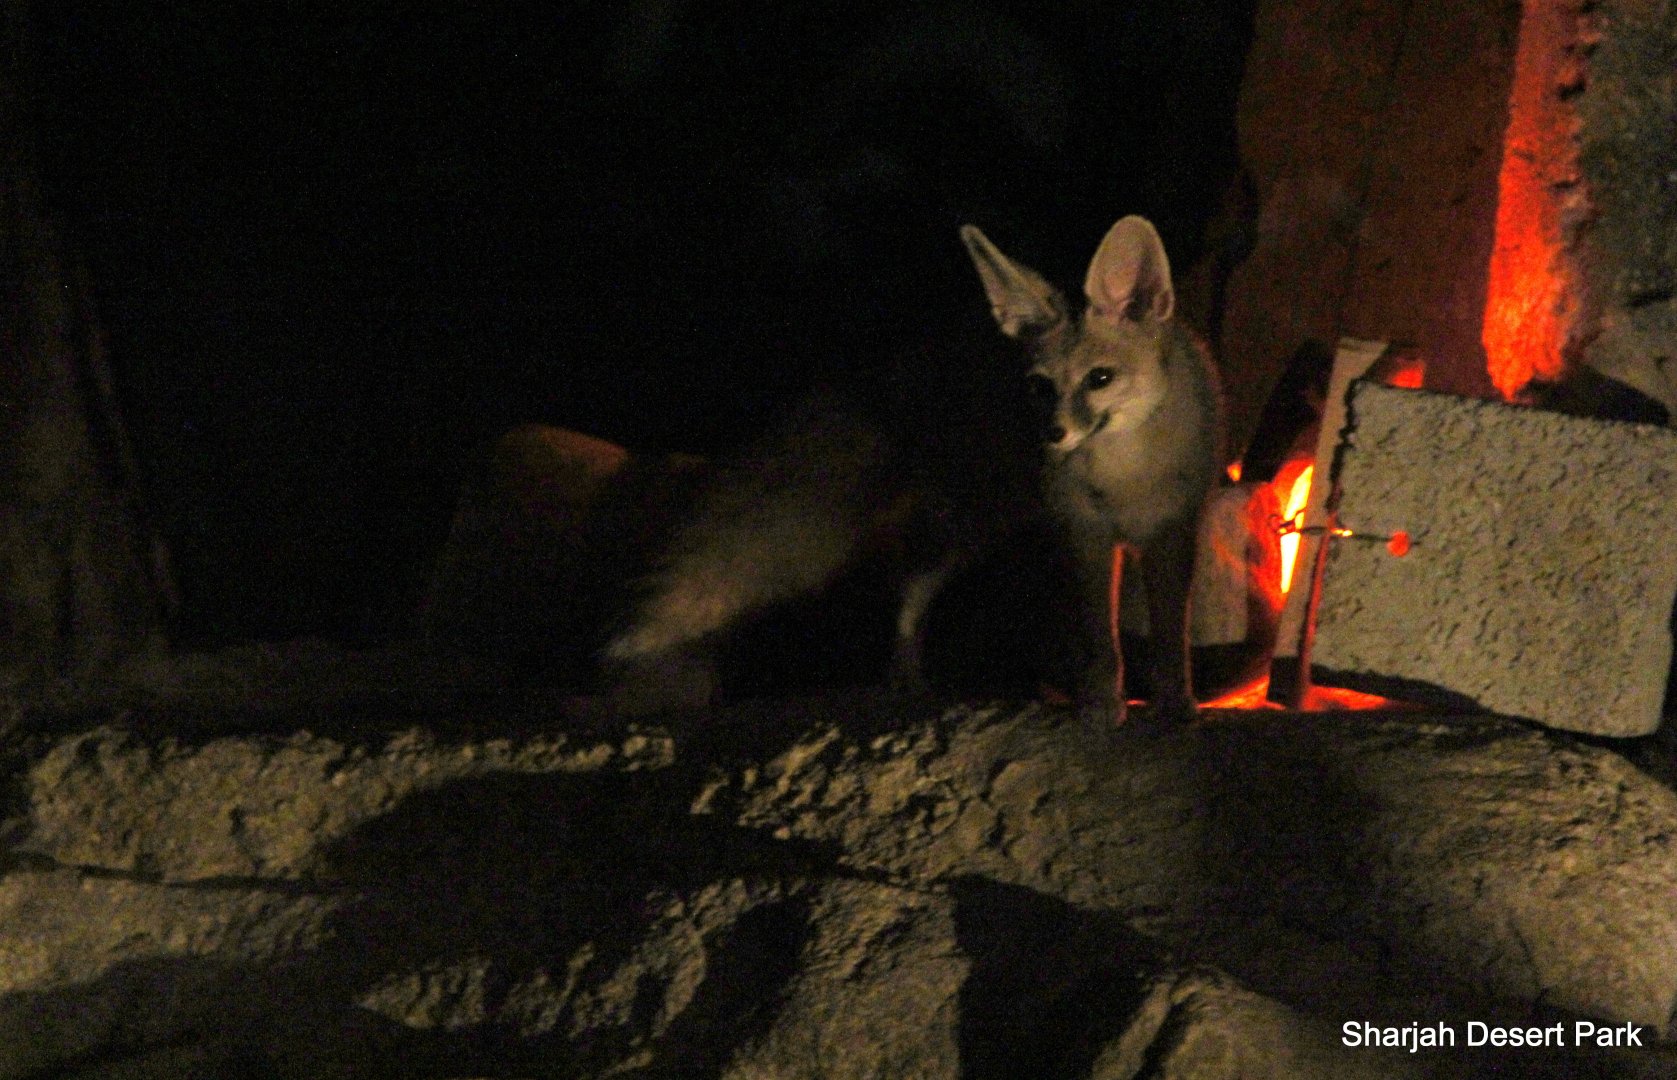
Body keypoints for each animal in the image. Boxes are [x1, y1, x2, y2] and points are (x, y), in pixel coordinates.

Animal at [601, 215, 1222, 727]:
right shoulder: (1086, 537)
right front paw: (1100, 705)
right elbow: (1101, 641)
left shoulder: (1170, 533)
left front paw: (1175, 705)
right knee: (907, 584)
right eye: (1039, 387)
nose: (1052, 436)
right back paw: (908, 682)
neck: (1127, 478)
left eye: (1100, 379)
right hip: (971, 527)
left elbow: (1170, 636)